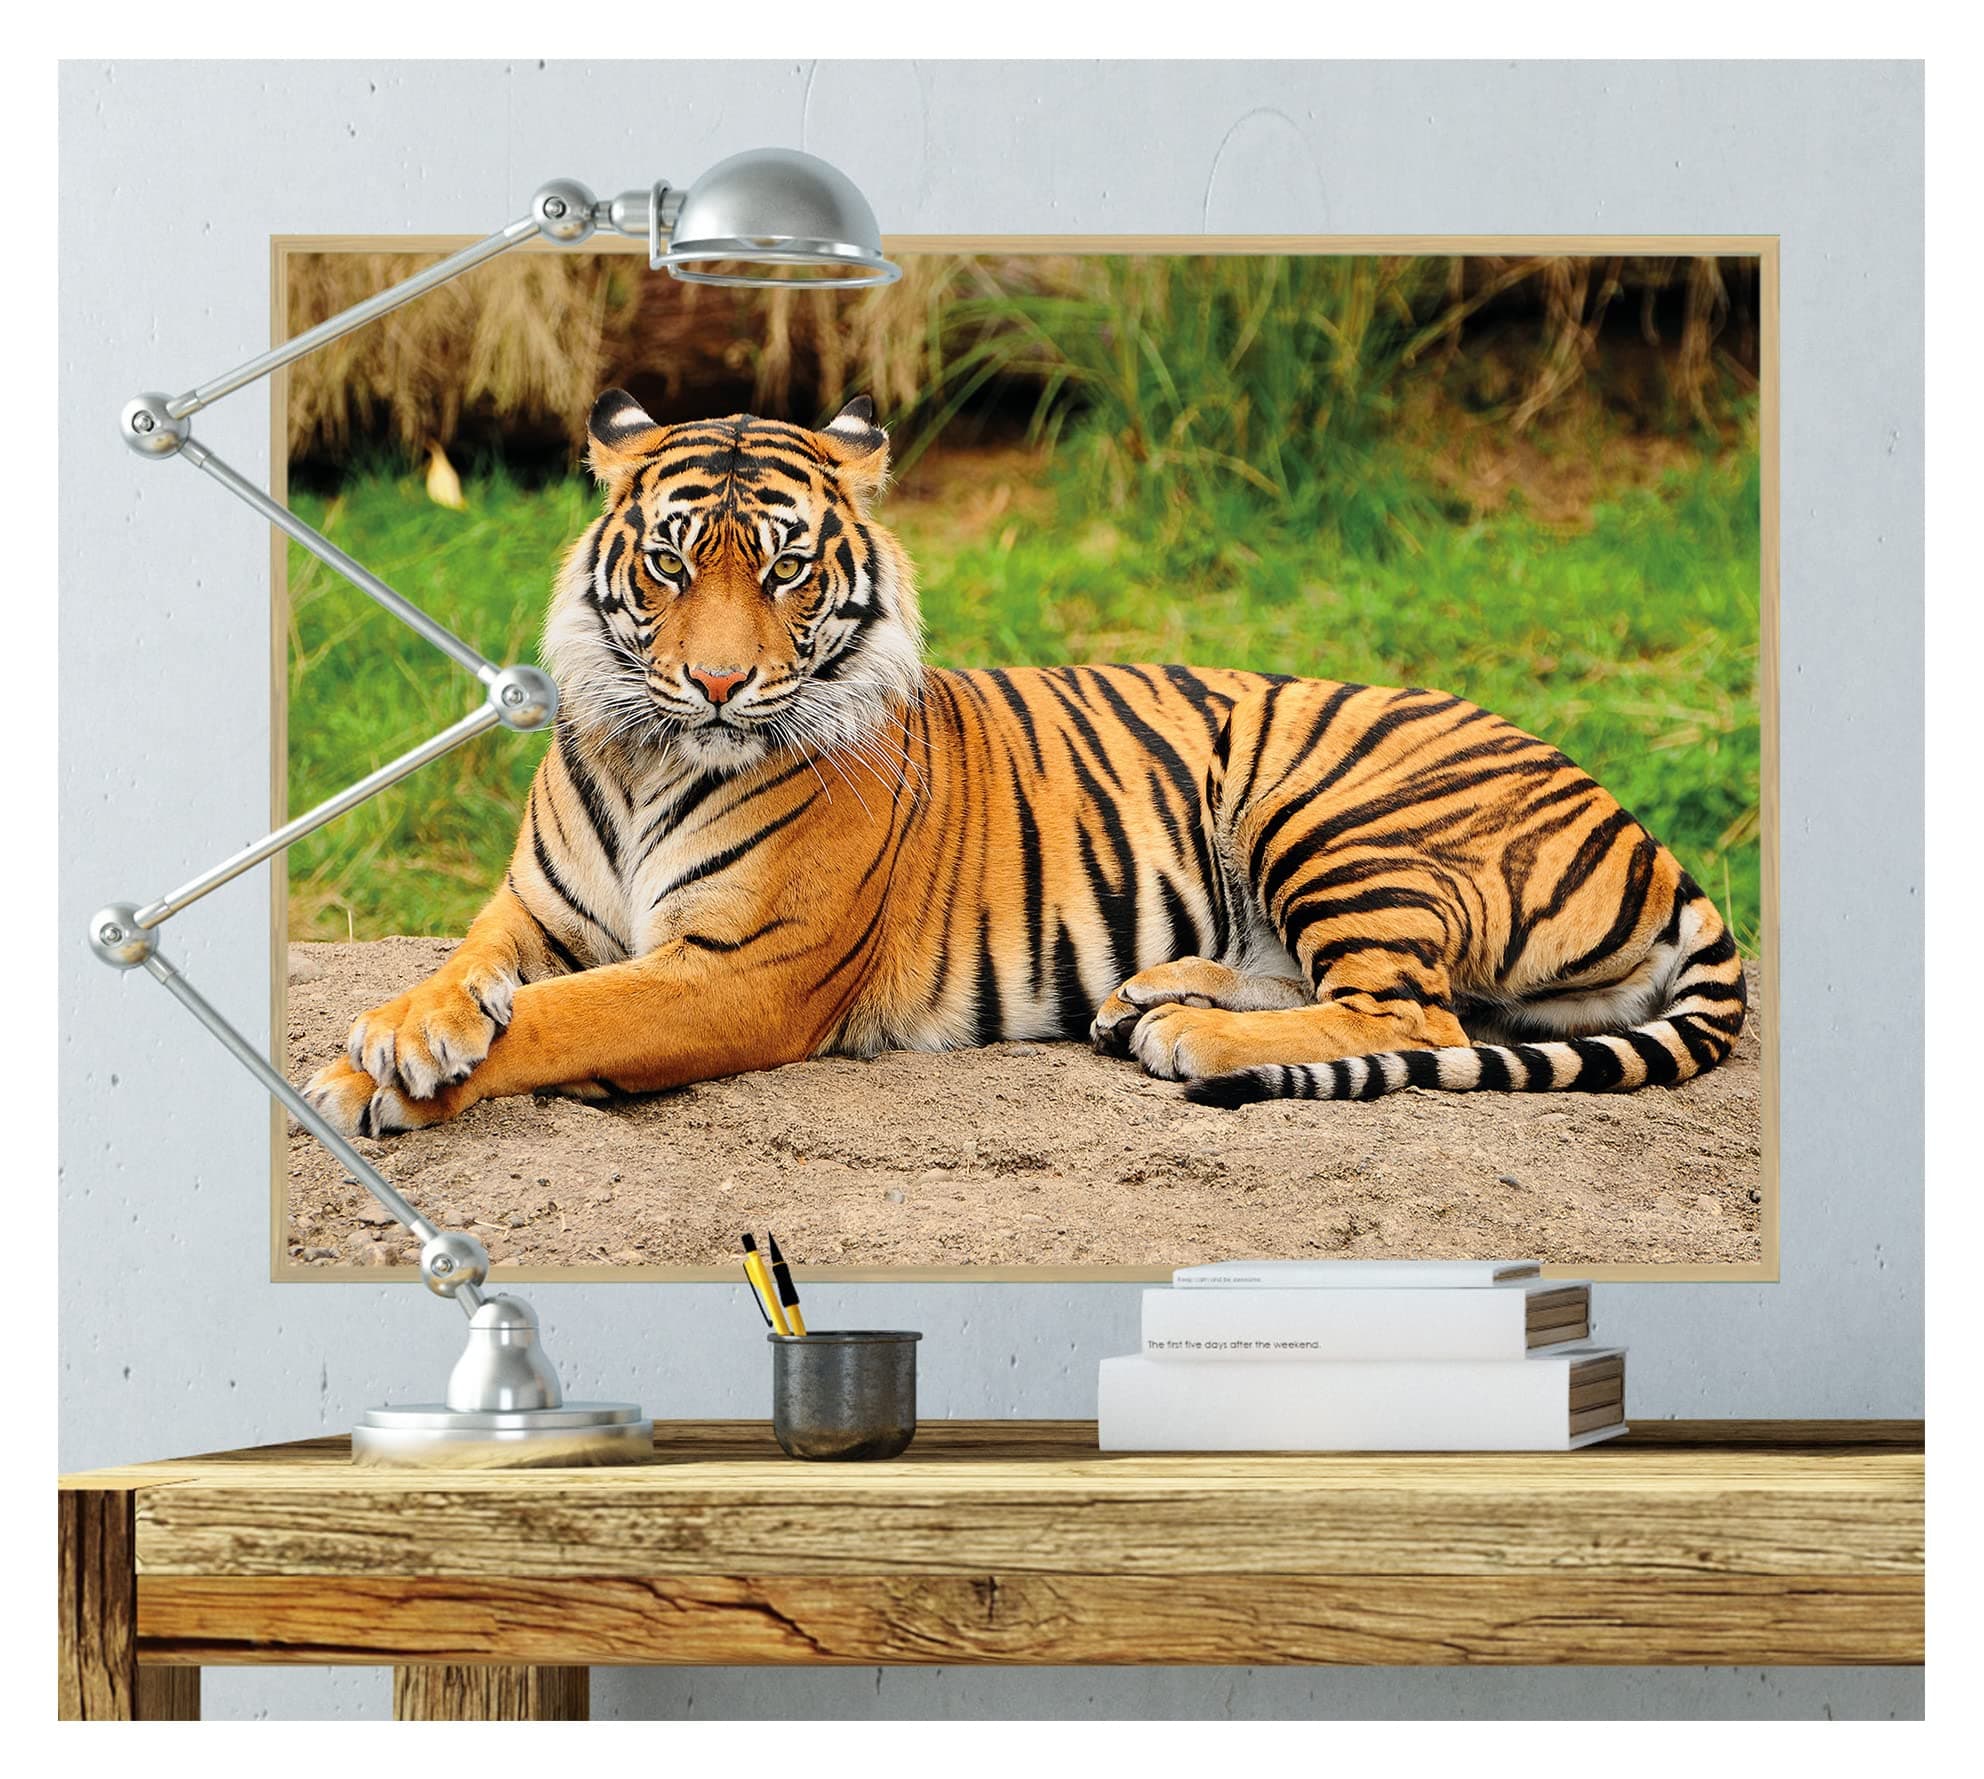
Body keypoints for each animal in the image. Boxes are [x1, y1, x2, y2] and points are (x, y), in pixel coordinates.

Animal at [300, 389, 1748, 1139]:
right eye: (668, 562)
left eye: (782, 568)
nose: (716, 683)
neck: (654, 753)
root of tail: (1642, 828)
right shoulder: (534, 912)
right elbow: (470, 972)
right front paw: (395, 1033)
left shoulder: (737, 972)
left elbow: (562, 1017)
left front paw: (375, 1077)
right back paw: (1152, 996)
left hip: (1332, 808)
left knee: (1416, 1014)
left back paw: (1193, 1034)